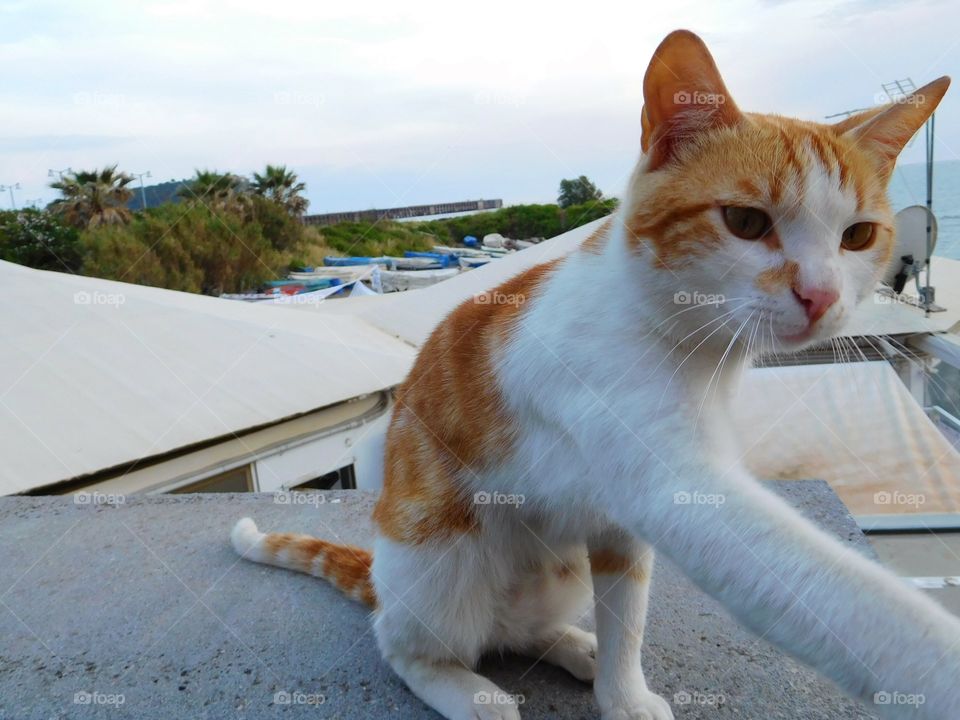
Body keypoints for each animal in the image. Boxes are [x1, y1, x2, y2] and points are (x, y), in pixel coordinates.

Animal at [231, 29, 952, 720]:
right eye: (746, 222)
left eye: (858, 237)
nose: (822, 297)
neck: (686, 344)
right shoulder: (670, 483)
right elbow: (847, 603)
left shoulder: (620, 529)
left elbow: (626, 613)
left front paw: (621, 692)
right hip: (439, 560)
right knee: (404, 643)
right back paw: (468, 692)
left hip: (559, 568)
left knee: (516, 629)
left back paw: (571, 644)